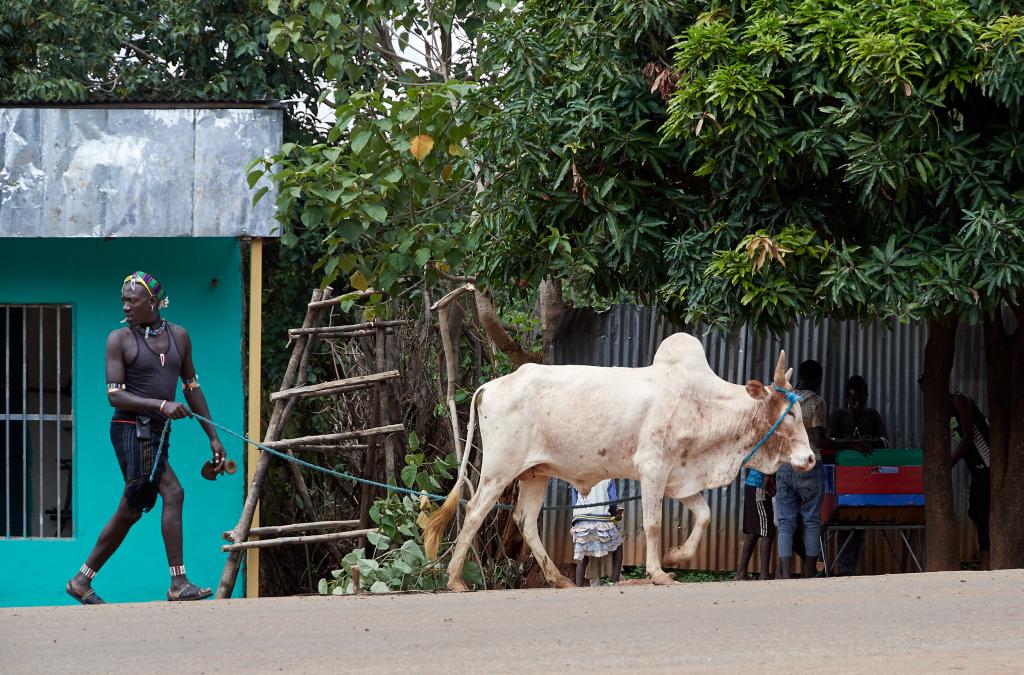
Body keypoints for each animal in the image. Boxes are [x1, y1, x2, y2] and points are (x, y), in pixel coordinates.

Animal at [419, 331, 811, 589]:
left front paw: (675, 556)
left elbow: (704, 516)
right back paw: (454, 580)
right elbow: (653, 523)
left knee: (525, 521)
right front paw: (658, 573)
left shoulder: (682, 478)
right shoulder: (652, 468)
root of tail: (491, 386)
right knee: (475, 511)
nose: (809, 459)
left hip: (535, 473)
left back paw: (559, 579)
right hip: (500, 469)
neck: (701, 402)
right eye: (790, 414)